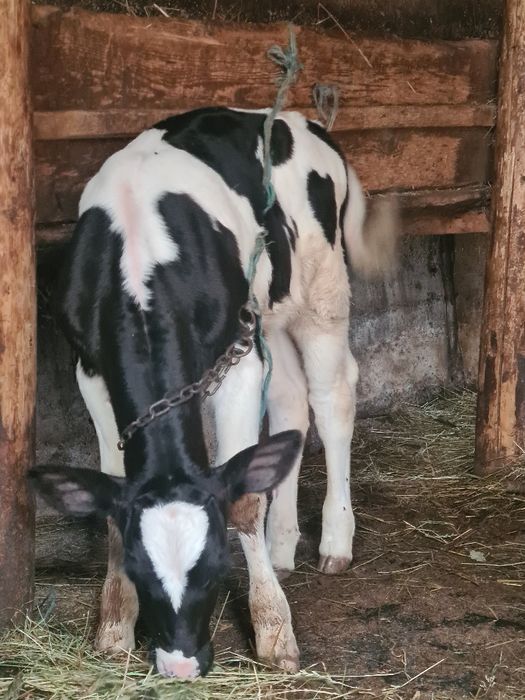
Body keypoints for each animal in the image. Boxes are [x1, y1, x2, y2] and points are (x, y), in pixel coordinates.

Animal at [30, 107, 397, 679]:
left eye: (215, 568)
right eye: (140, 569)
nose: (179, 666)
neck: (140, 265)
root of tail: (300, 120)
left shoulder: (237, 354)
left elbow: (243, 500)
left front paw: (274, 631)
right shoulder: (88, 368)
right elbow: (112, 498)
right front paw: (114, 623)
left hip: (322, 292)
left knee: (332, 395)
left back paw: (335, 541)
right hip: (271, 310)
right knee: (290, 402)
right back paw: (283, 546)